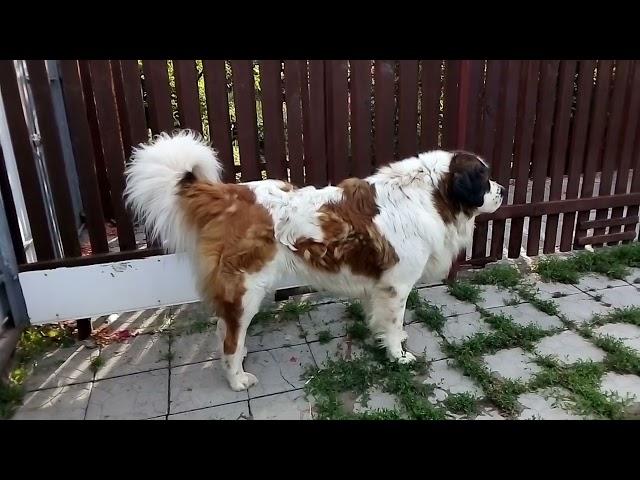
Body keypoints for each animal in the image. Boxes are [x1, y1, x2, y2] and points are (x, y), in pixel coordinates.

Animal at [125, 130, 504, 390]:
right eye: (484, 179)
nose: (502, 191)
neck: (429, 195)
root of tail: (232, 194)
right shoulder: (396, 286)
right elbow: (395, 322)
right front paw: (398, 356)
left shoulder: (380, 287)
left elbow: (383, 321)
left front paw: (385, 338)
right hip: (248, 289)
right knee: (231, 336)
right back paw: (237, 378)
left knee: (225, 328)